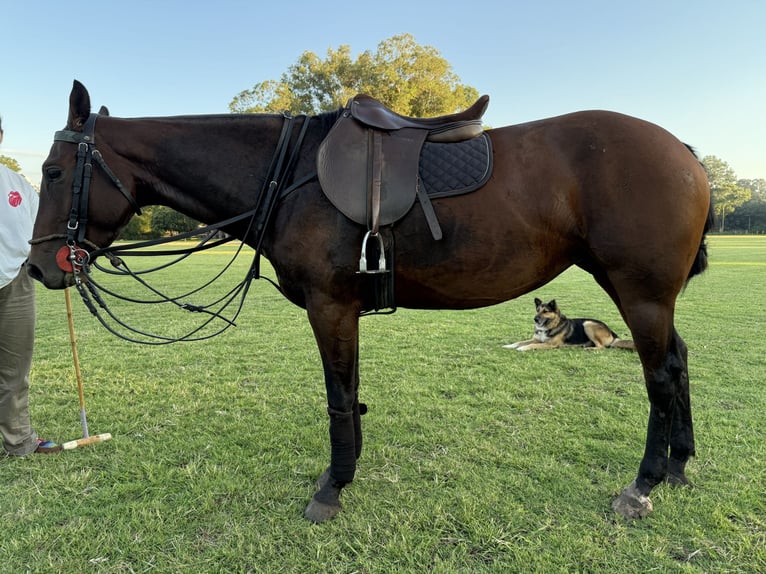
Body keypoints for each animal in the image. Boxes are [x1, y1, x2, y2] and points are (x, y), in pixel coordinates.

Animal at [28, 80, 714, 523]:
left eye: (54, 172)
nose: (38, 266)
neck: (288, 172)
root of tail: (682, 151)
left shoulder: (329, 304)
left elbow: (336, 395)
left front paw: (332, 487)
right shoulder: (344, 309)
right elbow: (351, 391)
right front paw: (347, 469)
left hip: (638, 292)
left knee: (659, 376)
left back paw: (643, 485)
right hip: (644, 294)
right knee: (678, 362)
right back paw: (680, 464)